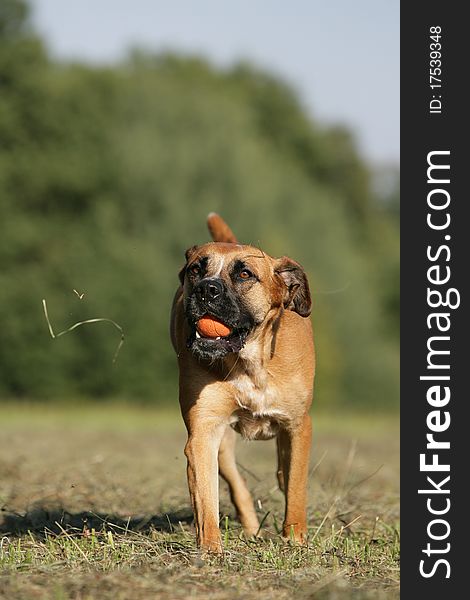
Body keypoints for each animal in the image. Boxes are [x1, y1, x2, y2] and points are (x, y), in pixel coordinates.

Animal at [171, 214, 314, 552]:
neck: (249, 362)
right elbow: (206, 499)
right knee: (236, 483)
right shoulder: (203, 431)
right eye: (196, 269)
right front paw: (210, 549)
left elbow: (296, 484)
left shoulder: (299, 424)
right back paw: (250, 528)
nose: (206, 289)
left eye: (245, 274)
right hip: (222, 442)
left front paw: (295, 538)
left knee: (283, 470)